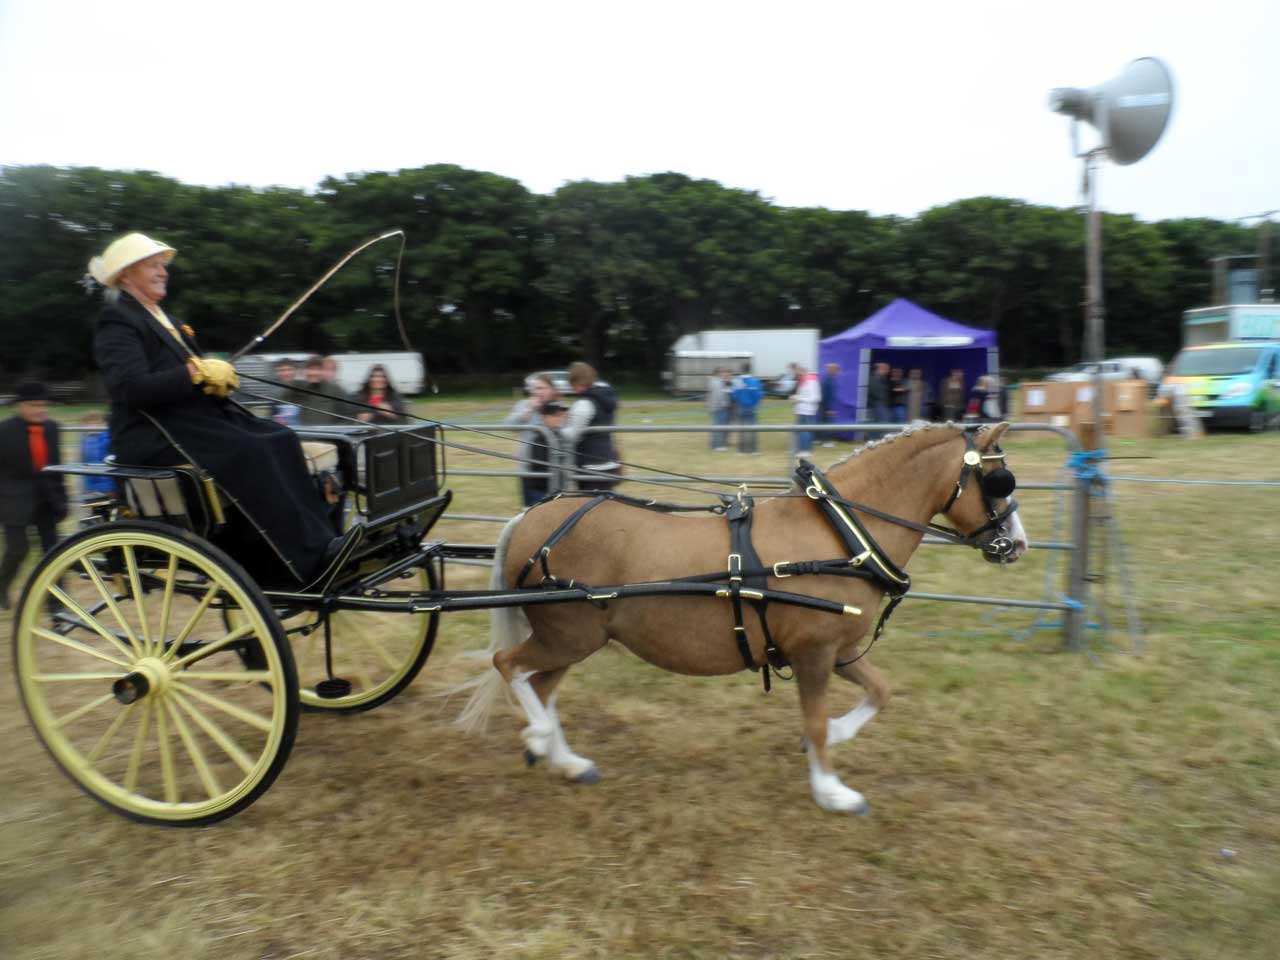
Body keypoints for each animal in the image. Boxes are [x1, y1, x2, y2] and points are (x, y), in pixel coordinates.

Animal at [460, 419, 1029, 814]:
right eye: (999, 480)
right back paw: (537, 738)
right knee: (510, 666)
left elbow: (879, 692)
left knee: (542, 685)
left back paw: (565, 760)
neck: (841, 534)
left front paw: (833, 742)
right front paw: (832, 791)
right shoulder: (814, 653)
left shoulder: (838, 649)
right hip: (568, 635)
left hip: (576, 637)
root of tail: (531, 516)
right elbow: (816, 720)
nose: (1018, 544)